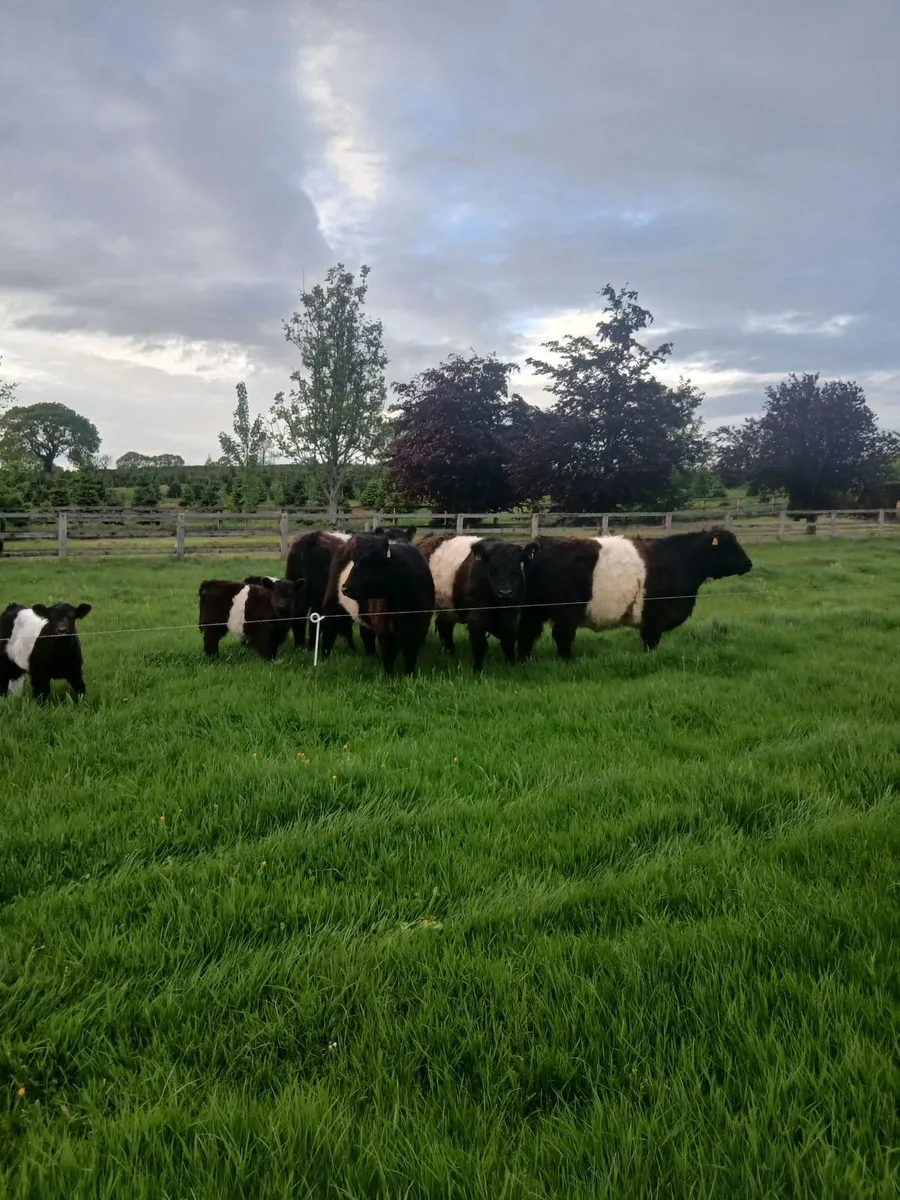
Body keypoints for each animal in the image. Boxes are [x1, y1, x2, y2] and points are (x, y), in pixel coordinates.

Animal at [321, 532, 434, 675]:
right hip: (332, 603)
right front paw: (388, 676)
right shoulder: (384, 629)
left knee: (366, 634)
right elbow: (388, 656)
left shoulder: (419, 628)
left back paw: (371, 656)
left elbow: (410, 656)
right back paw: (325, 657)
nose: (344, 588)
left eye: (369, 563)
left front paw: (409, 675)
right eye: (355, 562)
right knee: (329, 628)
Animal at [418, 533, 535, 673]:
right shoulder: (476, 618)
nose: (505, 593)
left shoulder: (512, 616)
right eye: (493, 569)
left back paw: (450, 652)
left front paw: (511, 666)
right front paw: (478, 671)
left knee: (444, 625)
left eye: (517, 569)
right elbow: (480, 645)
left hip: (448, 608)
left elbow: (508, 641)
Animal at [517, 527, 753, 660]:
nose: (749, 563)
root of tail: (541, 542)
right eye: (730, 546)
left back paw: (525, 659)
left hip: (534, 609)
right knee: (561, 636)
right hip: (567, 611)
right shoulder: (655, 616)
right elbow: (651, 641)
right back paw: (568, 660)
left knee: (528, 633)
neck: (682, 559)